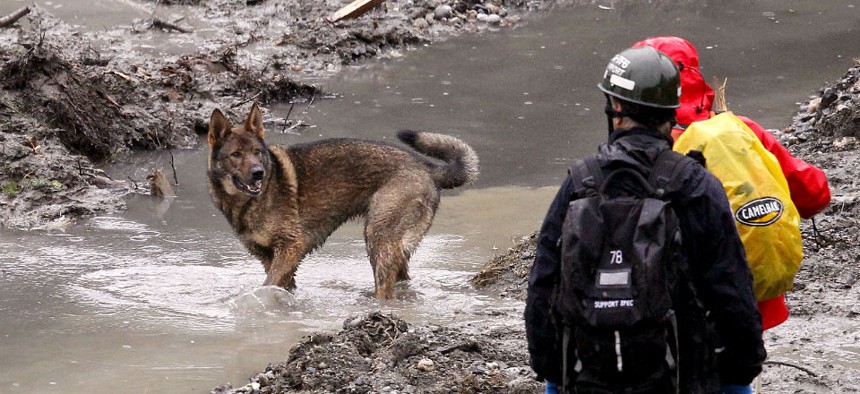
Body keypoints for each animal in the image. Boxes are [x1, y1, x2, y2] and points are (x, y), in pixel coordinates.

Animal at [206, 102, 480, 298]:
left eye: (257, 152)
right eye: (236, 154)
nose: (258, 173)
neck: (247, 203)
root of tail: (426, 167)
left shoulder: (291, 247)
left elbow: (267, 285)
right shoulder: (271, 258)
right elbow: (280, 286)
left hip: (378, 238)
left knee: (385, 290)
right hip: (391, 246)